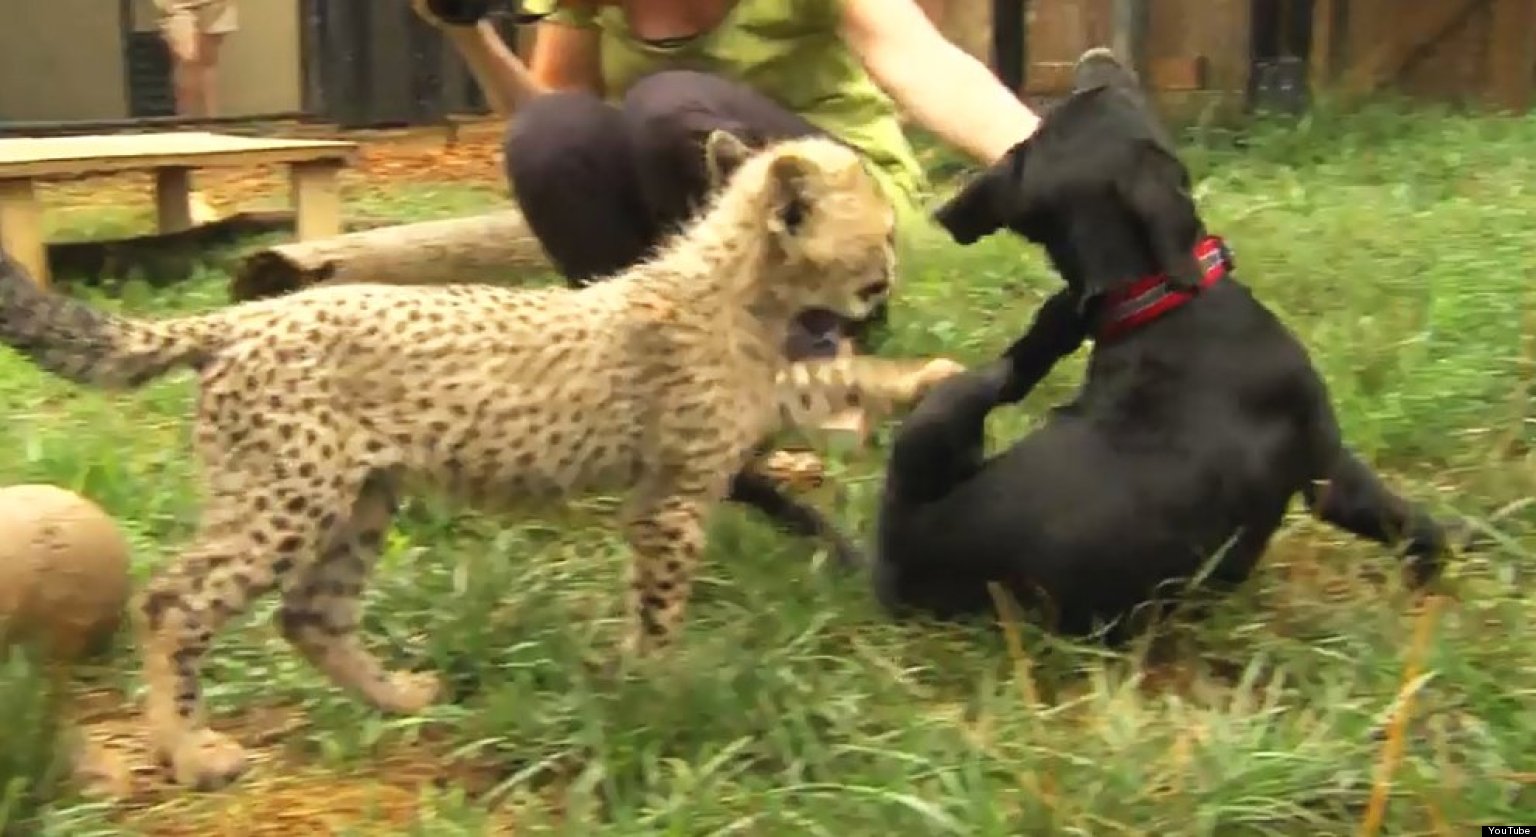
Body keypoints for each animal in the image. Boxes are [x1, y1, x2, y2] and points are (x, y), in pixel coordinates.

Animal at [872, 48, 1456, 638]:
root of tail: (900, 553)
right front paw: (1441, 565)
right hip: (950, 411)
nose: (1098, 55)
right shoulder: (1328, 468)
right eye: (1110, 97)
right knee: (995, 379)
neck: (1152, 302)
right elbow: (1406, 522)